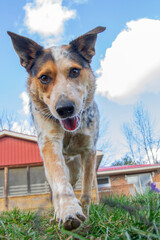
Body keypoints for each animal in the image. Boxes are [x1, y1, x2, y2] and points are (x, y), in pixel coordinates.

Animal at [7, 26, 105, 231]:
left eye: (74, 71)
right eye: (44, 78)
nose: (64, 109)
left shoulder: (89, 150)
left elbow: (86, 191)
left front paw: (85, 215)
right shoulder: (49, 142)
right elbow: (60, 181)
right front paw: (68, 211)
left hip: (75, 168)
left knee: (74, 181)